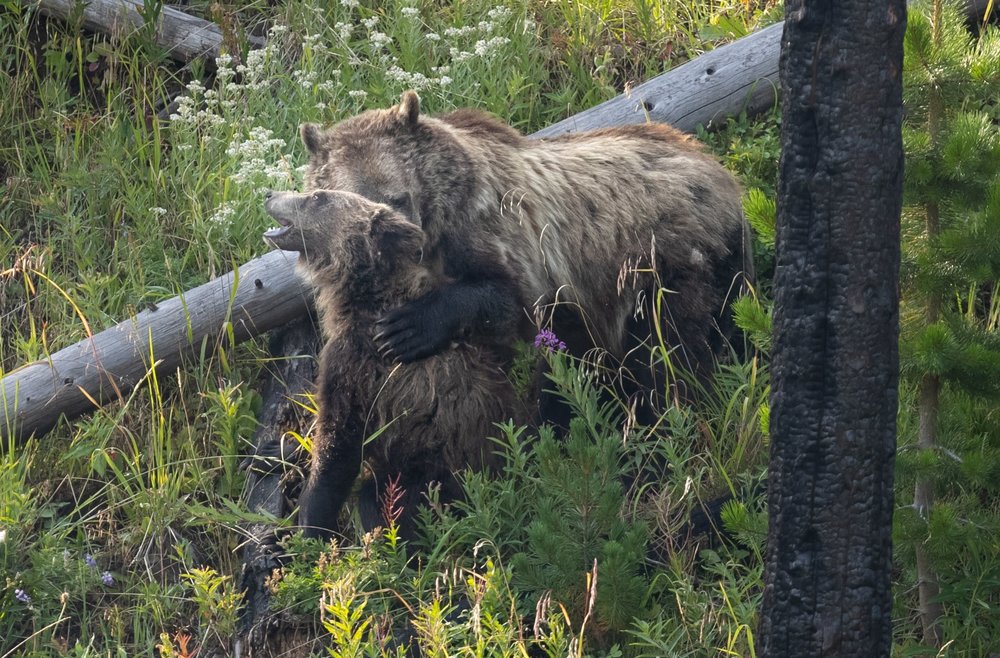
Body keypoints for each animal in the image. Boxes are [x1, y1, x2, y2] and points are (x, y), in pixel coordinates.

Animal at [263, 189, 528, 539]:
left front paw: (309, 527)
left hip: (432, 472)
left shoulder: (356, 362)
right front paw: (277, 451)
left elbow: (338, 445)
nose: (269, 193)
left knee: (380, 499)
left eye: (318, 197)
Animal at [299, 91, 753, 418]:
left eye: (398, 196)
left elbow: (506, 298)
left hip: (665, 252)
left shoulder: (504, 235)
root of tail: (723, 175)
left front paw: (409, 326)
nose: (404, 242)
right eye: (354, 200)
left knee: (666, 345)